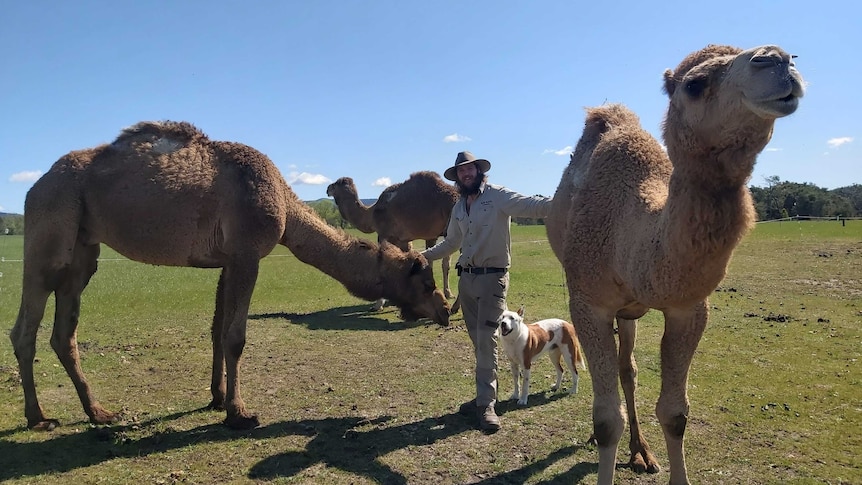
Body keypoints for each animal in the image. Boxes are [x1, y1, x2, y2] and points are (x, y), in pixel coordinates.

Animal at [326, 172, 460, 308]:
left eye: (336, 184)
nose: (327, 188)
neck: (371, 214)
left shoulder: (384, 234)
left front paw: (379, 304)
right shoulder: (404, 240)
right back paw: (450, 296)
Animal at [552, 43, 808, 482]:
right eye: (695, 84)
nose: (777, 59)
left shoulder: (688, 308)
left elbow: (674, 414)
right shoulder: (588, 302)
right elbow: (606, 420)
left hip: (631, 311)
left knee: (628, 369)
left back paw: (641, 452)